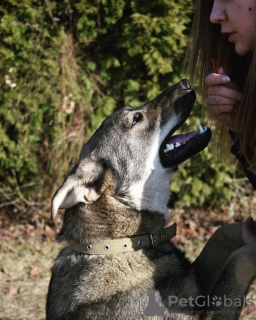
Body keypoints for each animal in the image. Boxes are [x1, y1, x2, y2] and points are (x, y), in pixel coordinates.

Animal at [46, 79, 256, 318]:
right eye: (136, 119)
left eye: (132, 110)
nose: (185, 82)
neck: (122, 243)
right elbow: (238, 261)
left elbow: (223, 231)